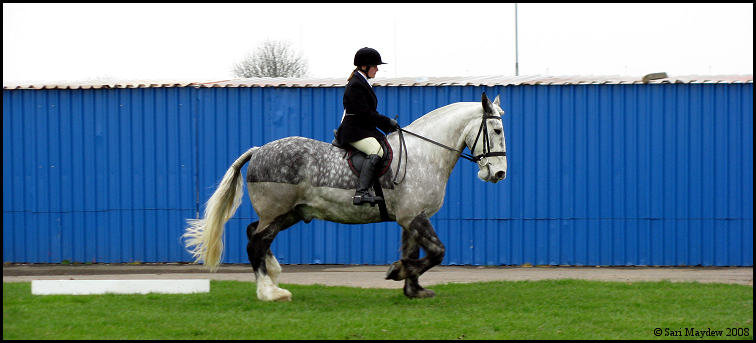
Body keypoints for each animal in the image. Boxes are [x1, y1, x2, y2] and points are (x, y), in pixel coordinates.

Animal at [185, 92, 508, 302]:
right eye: (496, 129)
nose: (499, 173)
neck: (424, 155)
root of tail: (258, 150)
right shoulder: (413, 216)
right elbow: (437, 252)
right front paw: (397, 271)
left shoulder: (411, 218)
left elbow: (415, 252)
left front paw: (413, 289)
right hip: (276, 211)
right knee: (256, 243)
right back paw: (270, 292)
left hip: (289, 213)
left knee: (255, 234)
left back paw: (273, 276)